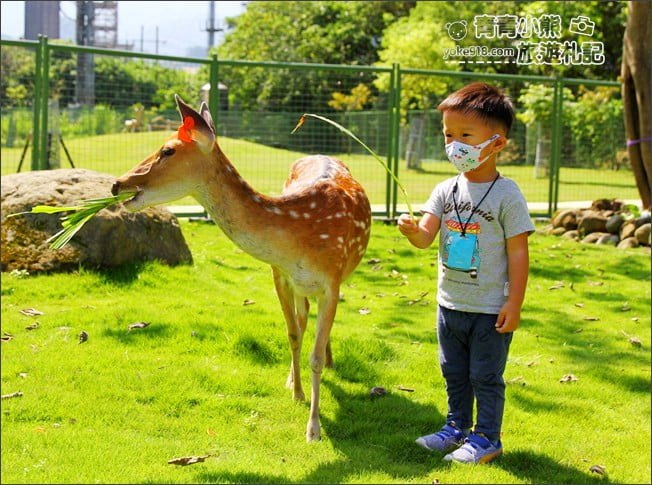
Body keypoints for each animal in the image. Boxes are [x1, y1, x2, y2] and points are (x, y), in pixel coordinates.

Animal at [111, 95, 372, 442]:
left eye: (167, 150)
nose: (117, 184)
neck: (301, 237)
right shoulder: (279, 273)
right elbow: (292, 333)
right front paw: (297, 392)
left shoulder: (332, 279)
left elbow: (314, 354)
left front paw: (314, 429)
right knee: (303, 320)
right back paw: (294, 376)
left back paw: (329, 362)